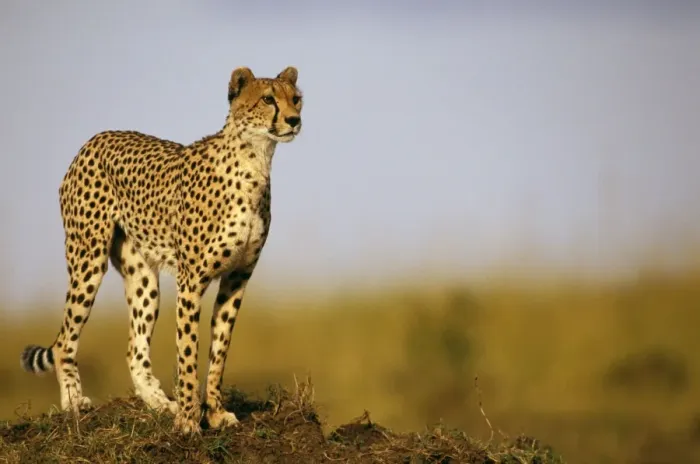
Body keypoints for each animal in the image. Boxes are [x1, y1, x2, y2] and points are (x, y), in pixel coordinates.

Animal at [19, 65, 303, 434]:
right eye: (268, 99)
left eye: (296, 98)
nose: (294, 119)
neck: (254, 161)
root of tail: (95, 139)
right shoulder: (192, 281)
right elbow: (188, 353)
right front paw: (188, 421)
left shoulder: (237, 280)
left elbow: (219, 352)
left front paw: (213, 412)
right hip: (87, 260)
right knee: (65, 339)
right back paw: (74, 403)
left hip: (143, 281)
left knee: (134, 350)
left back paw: (158, 403)